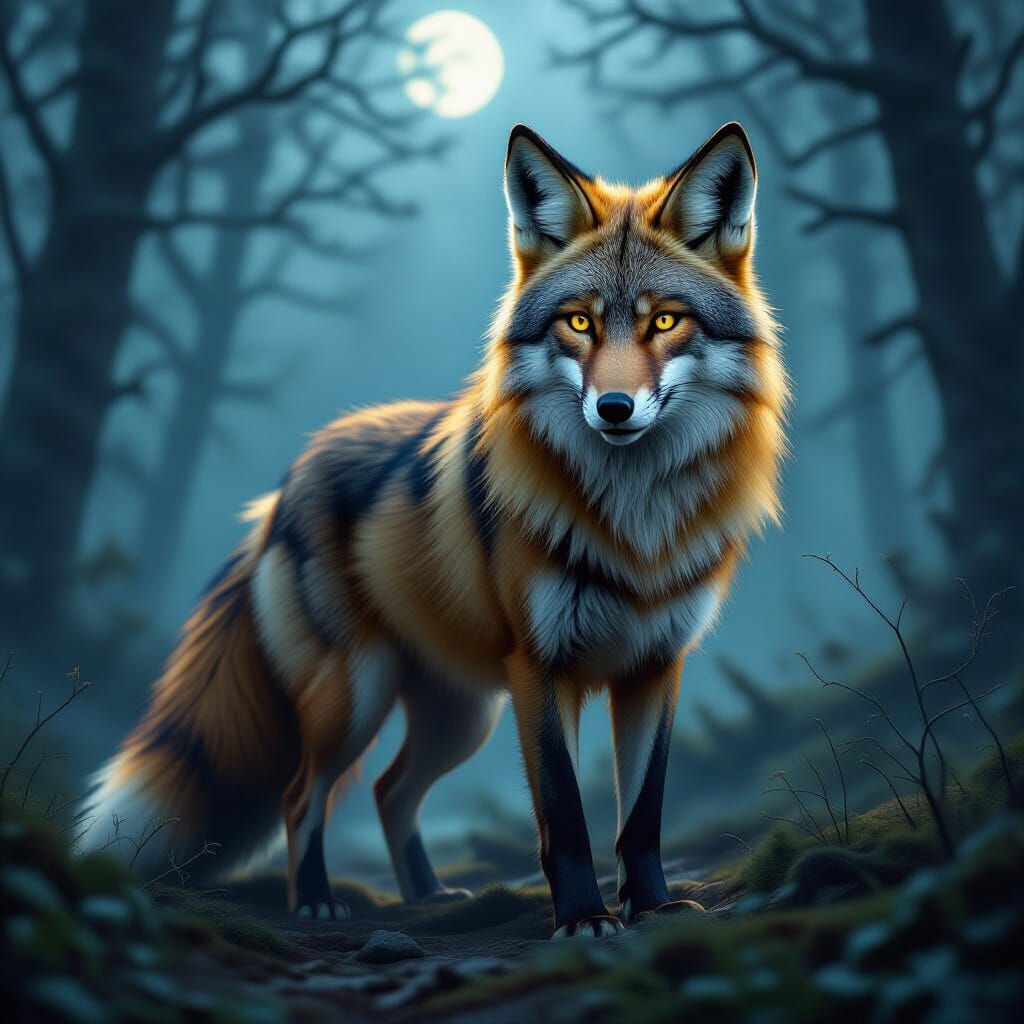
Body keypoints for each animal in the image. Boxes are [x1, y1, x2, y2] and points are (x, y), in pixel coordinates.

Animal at [82, 122, 787, 939]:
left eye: (665, 321)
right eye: (579, 322)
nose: (613, 409)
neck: (633, 526)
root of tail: (282, 487)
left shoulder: (655, 664)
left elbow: (640, 815)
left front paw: (654, 908)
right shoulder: (542, 668)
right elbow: (566, 817)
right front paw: (583, 918)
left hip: (460, 717)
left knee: (390, 792)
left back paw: (427, 896)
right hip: (356, 696)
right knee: (303, 795)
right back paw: (316, 900)